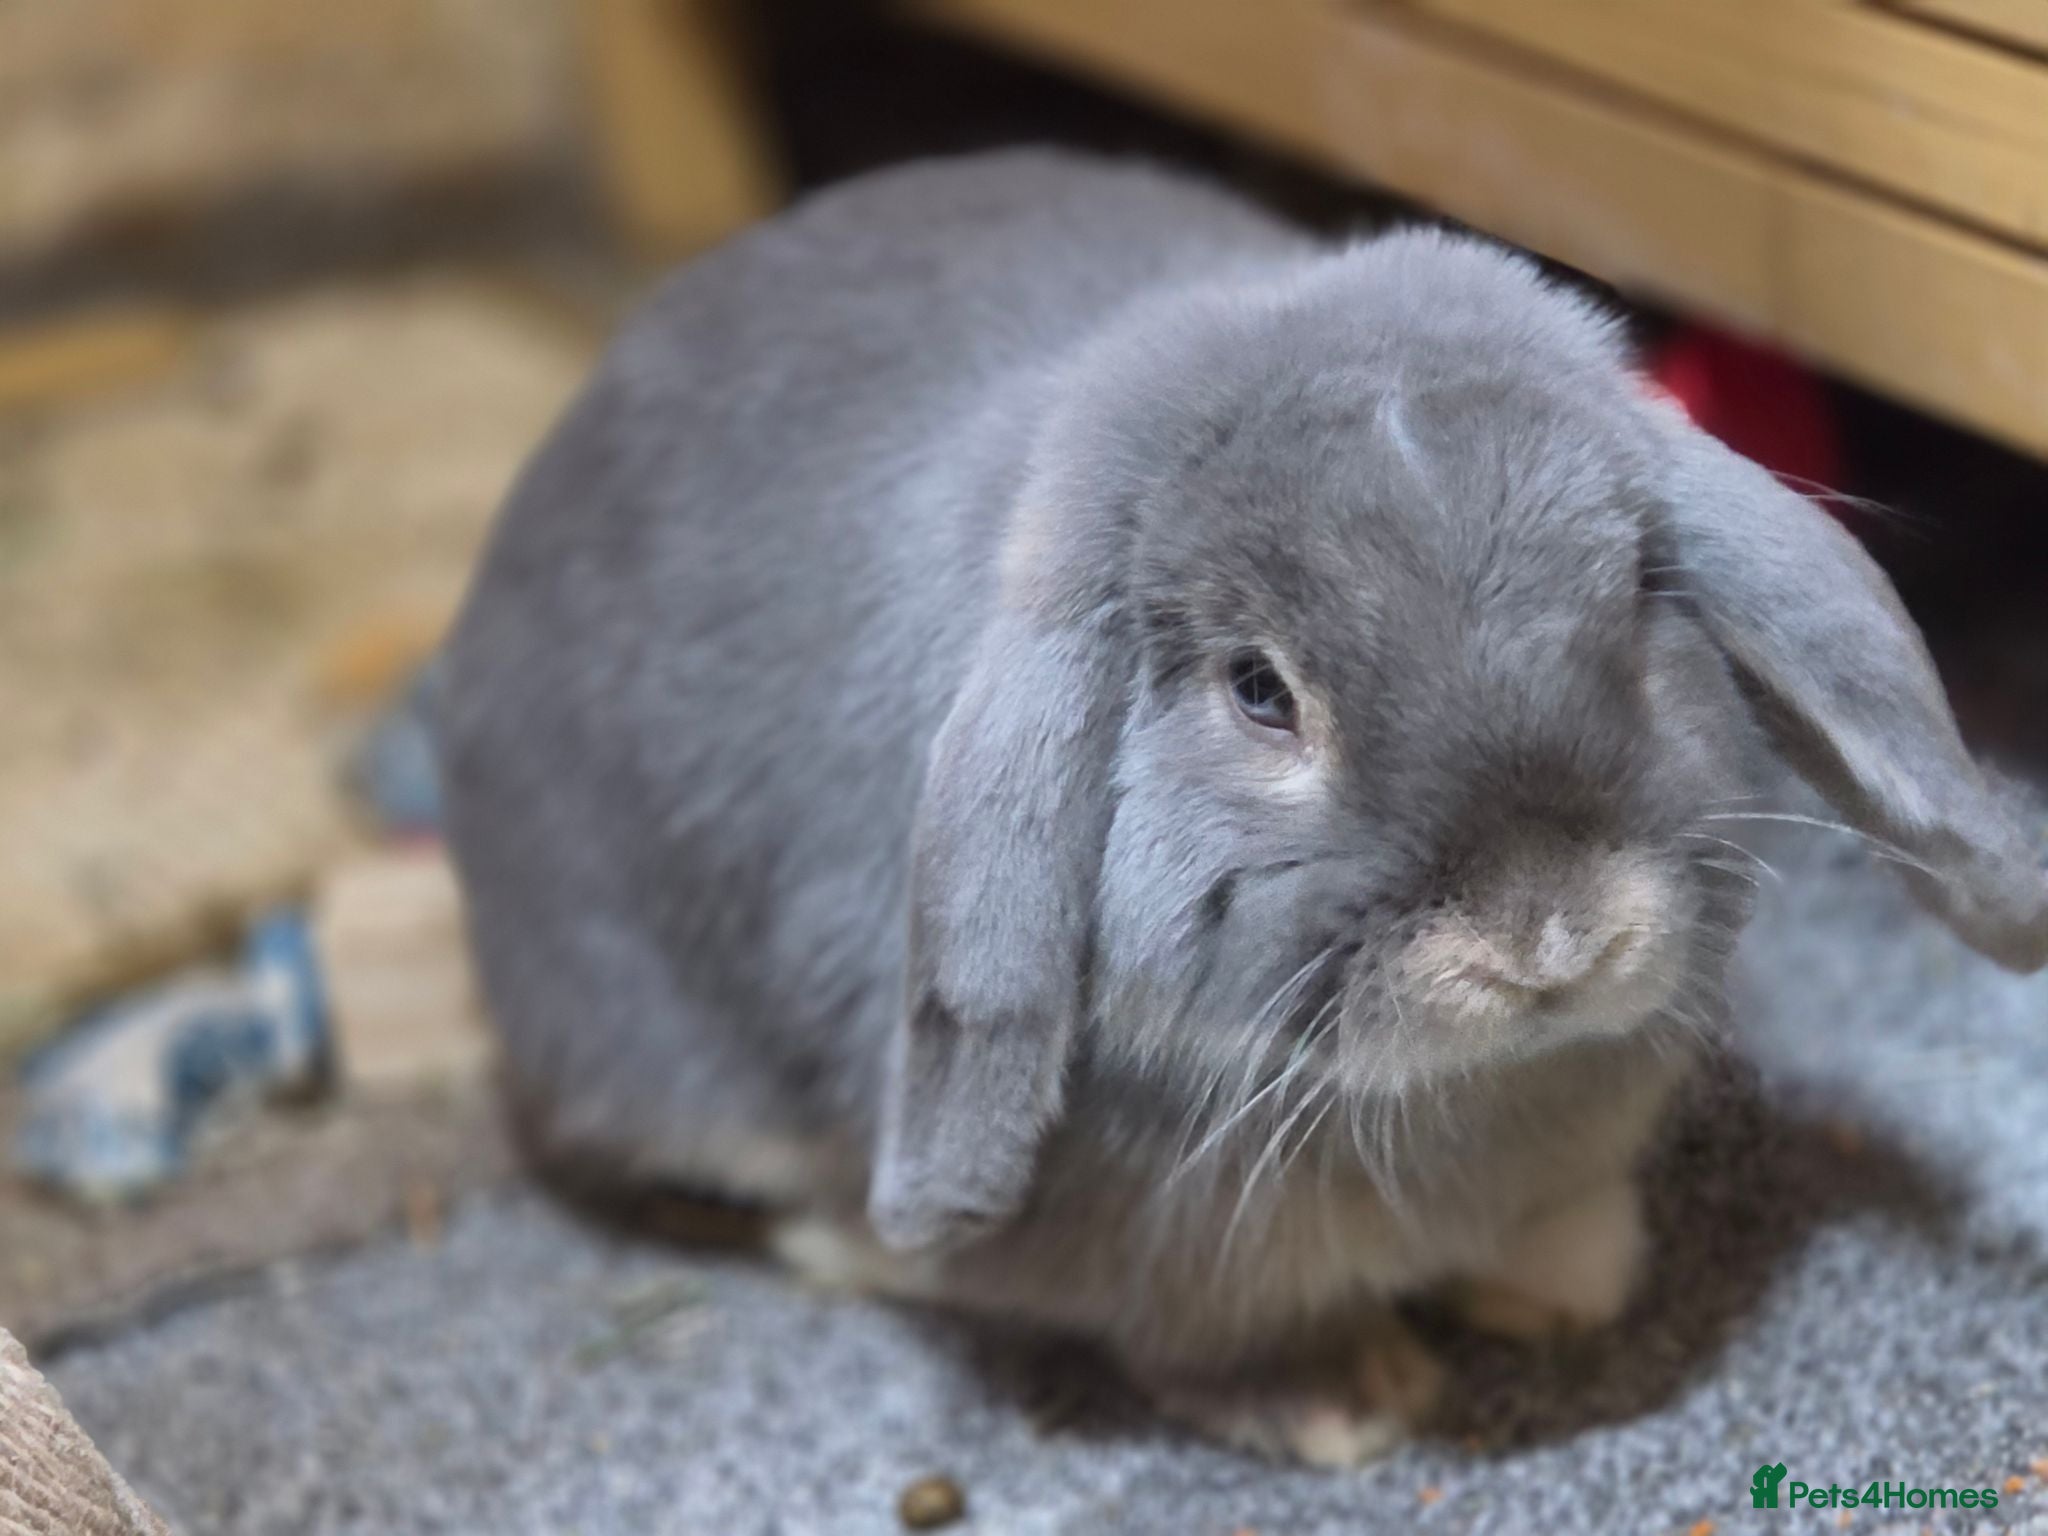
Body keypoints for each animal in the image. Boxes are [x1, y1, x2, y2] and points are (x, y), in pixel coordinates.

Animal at [438, 149, 2048, 1464]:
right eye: (1259, 691)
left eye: (1635, 597)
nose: (1549, 934)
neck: (1456, 1103)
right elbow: (1196, 1338)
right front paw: (1345, 1403)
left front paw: (1562, 1291)